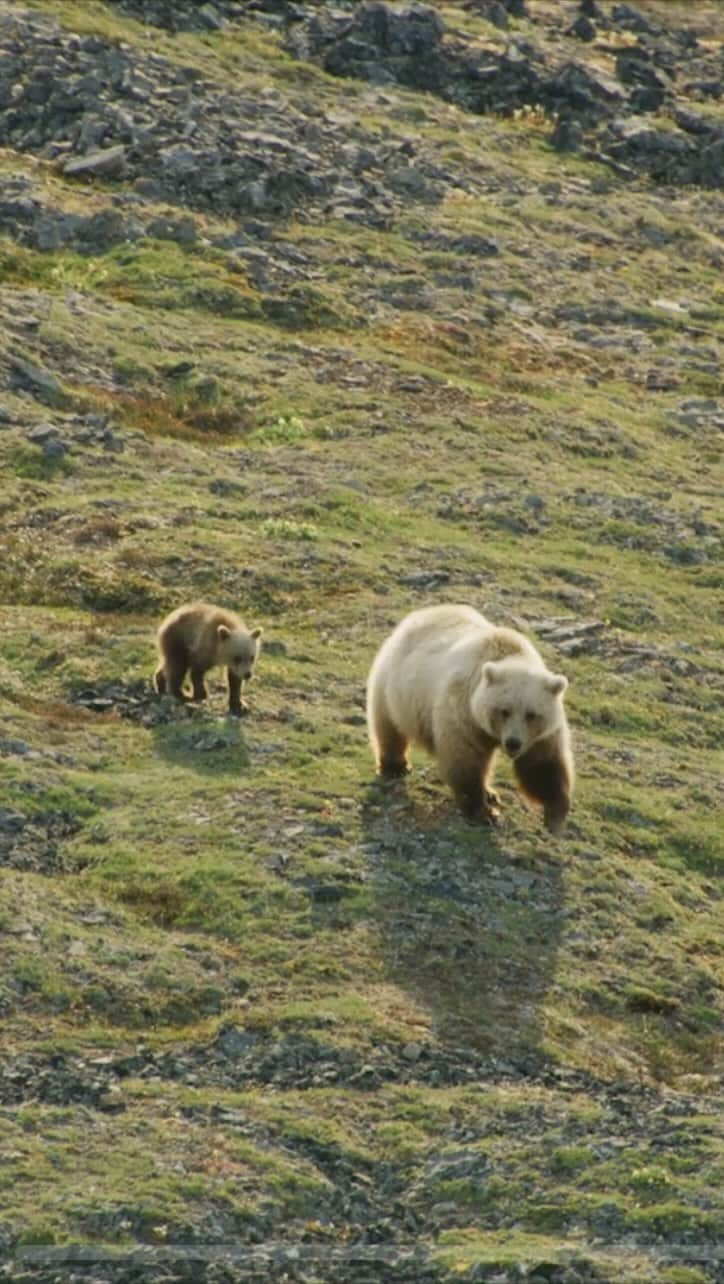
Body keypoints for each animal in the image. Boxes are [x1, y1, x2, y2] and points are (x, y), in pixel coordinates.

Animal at [369, 606, 575, 837]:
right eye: (504, 711)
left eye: (531, 714)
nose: (513, 743)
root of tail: (422, 613)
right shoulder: (464, 712)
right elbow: (465, 762)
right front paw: (484, 813)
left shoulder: (541, 735)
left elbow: (543, 766)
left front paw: (554, 816)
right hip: (398, 688)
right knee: (389, 727)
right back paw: (396, 766)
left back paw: (490, 792)